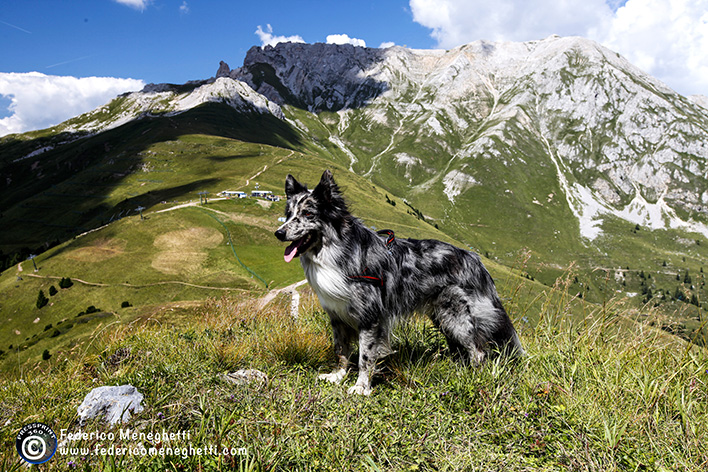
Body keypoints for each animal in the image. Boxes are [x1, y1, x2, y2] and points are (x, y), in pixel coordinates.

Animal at [274, 170, 524, 394]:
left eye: (308, 214)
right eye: (288, 213)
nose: (279, 233)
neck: (337, 251)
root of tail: (475, 260)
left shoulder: (369, 317)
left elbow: (365, 356)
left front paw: (361, 387)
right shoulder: (337, 315)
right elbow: (341, 349)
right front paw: (337, 375)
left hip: (457, 316)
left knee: (478, 351)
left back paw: (475, 379)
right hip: (441, 316)